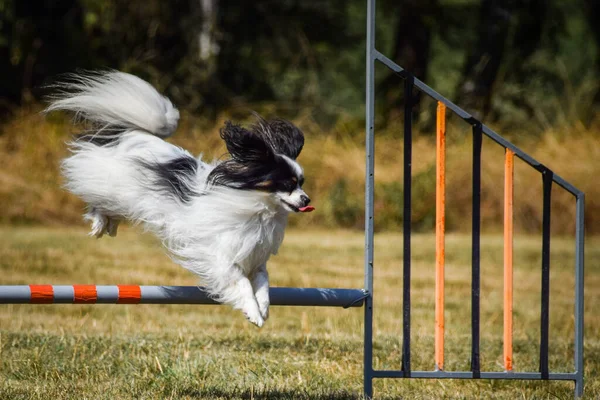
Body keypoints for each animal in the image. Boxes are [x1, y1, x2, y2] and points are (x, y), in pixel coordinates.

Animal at [47, 71, 314, 328]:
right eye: (288, 184)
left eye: (301, 182)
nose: (306, 199)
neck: (259, 209)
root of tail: (132, 134)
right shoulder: (221, 256)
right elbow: (242, 283)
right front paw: (253, 313)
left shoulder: (256, 256)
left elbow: (263, 284)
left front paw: (264, 308)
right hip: (114, 185)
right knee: (96, 199)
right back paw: (100, 222)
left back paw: (109, 225)